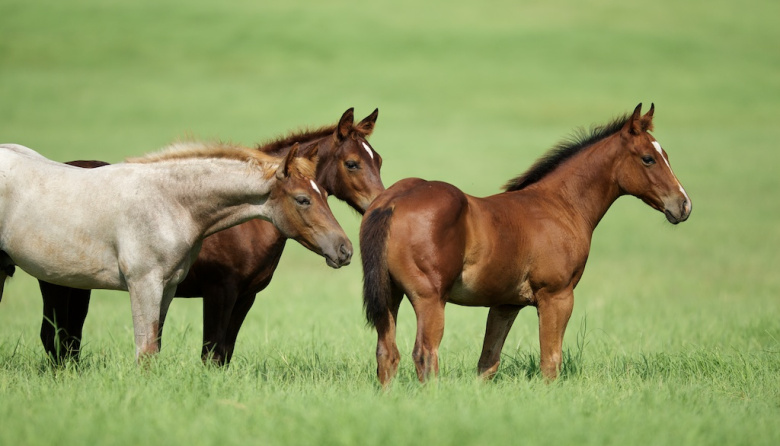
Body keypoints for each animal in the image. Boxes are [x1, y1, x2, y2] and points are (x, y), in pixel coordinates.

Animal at [37, 108, 384, 364]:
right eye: (352, 163)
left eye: (378, 160)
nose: (378, 204)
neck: (246, 222)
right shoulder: (220, 291)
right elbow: (211, 352)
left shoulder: (246, 296)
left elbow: (224, 353)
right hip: (56, 283)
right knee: (55, 336)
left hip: (76, 284)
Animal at [360, 104, 692, 386]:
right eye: (648, 158)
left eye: (666, 155)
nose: (683, 205)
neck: (560, 205)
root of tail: (393, 201)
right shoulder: (556, 296)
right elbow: (551, 362)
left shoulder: (505, 304)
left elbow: (488, 363)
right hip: (429, 299)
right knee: (425, 354)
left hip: (390, 296)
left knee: (387, 354)